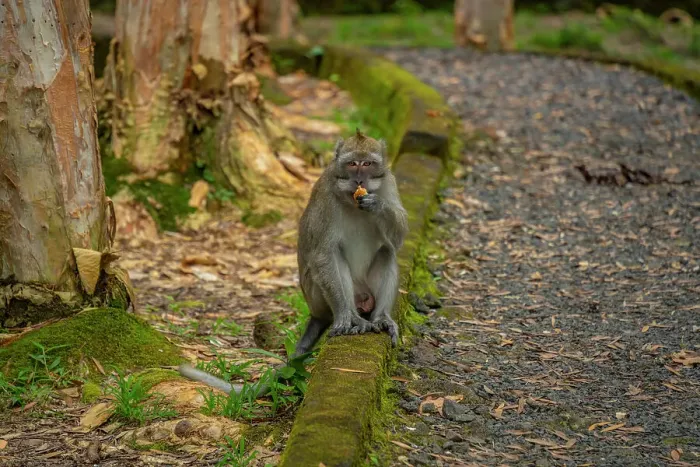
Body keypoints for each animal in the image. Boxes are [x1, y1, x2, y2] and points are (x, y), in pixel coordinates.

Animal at [178, 129, 408, 394]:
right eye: (352, 164)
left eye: (367, 164)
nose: (359, 180)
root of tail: (317, 312)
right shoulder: (325, 194)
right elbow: (323, 254)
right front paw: (346, 316)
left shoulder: (389, 182)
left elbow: (398, 238)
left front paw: (377, 204)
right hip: (317, 296)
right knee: (333, 258)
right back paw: (351, 314)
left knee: (387, 251)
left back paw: (381, 317)